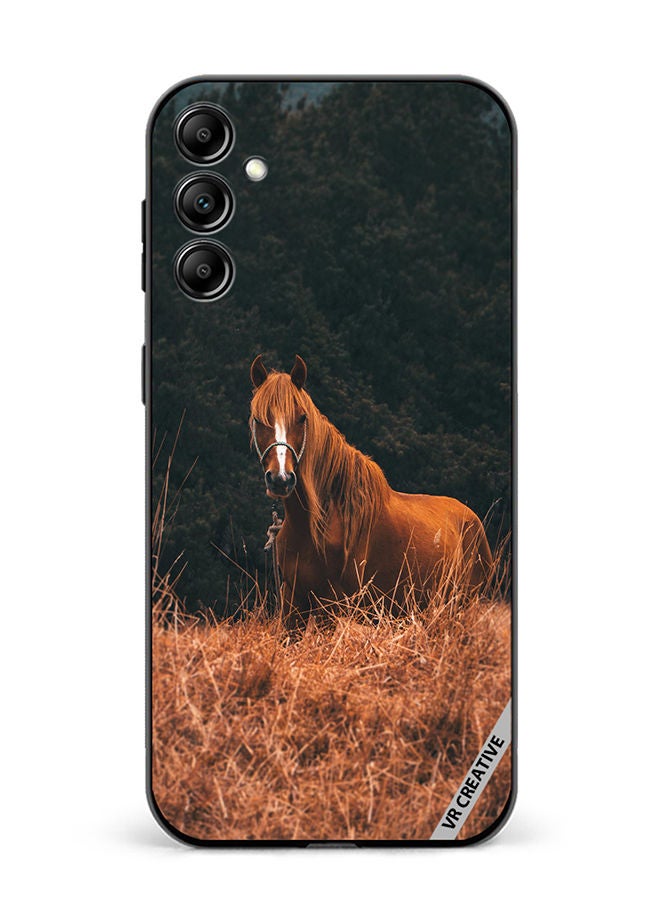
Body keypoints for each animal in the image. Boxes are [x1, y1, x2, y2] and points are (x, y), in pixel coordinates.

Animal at [249, 354, 493, 626]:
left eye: (302, 417)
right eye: (258, 420)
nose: (280, 479)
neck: (320, 522)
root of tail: (473, 520)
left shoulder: (332, 608)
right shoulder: (293, 604)